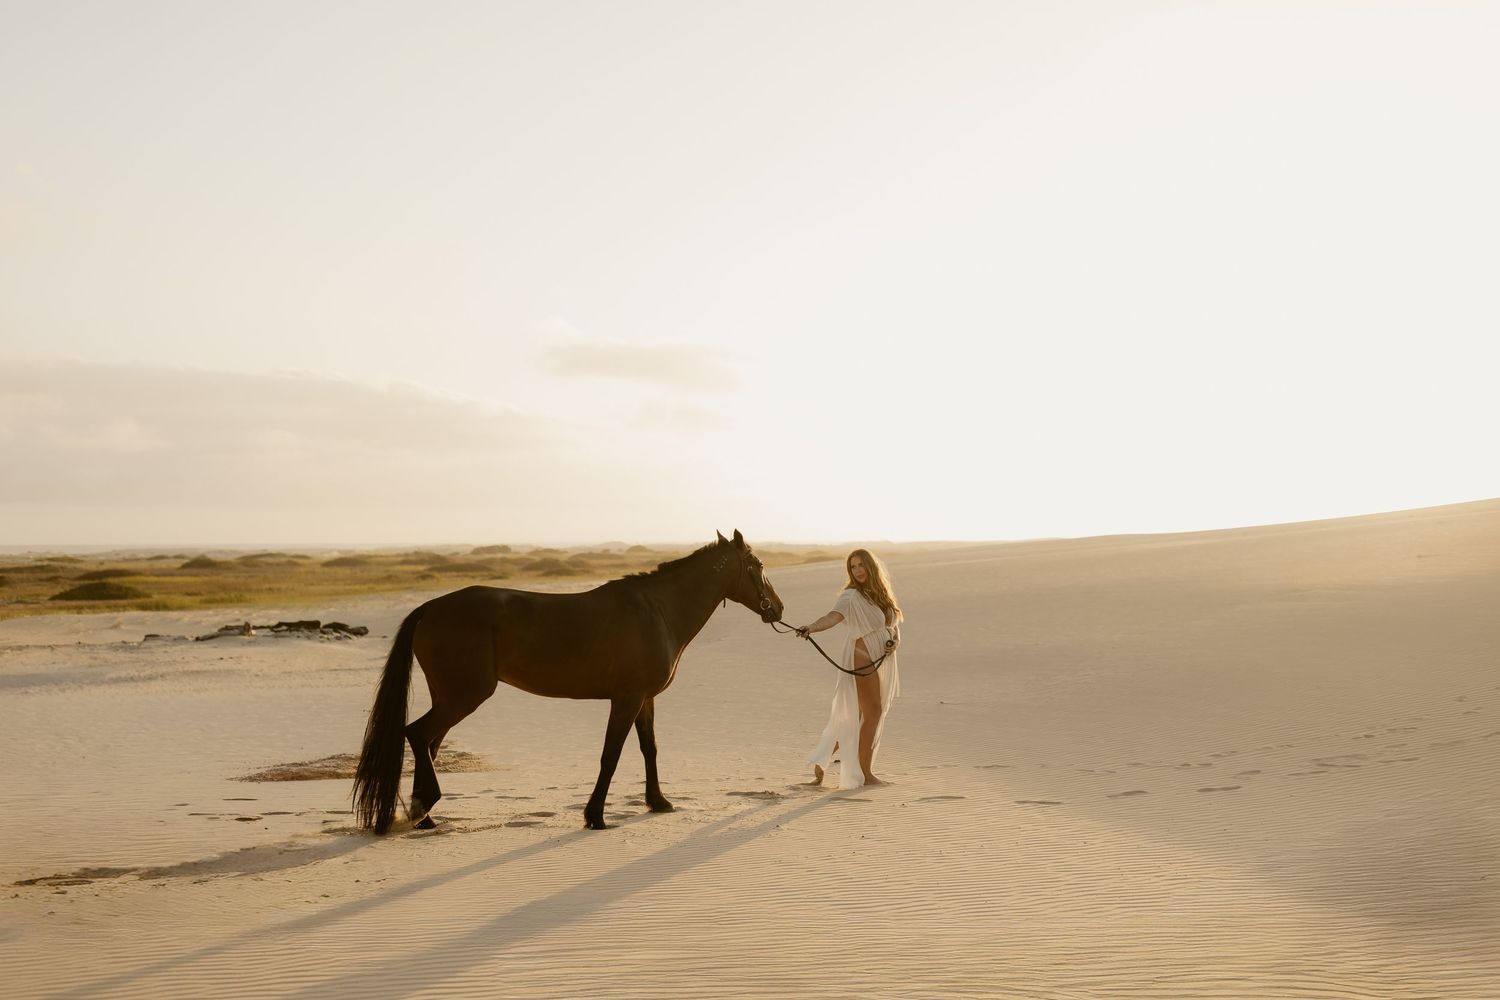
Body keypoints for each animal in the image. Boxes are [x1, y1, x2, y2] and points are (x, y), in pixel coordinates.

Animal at [352, 529, 785, 833]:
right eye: (759, 566)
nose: (778, 609)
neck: (658, 611)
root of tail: (430, 608)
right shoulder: (626, 699)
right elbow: (611, 754)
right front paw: (595, 815)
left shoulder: (644, 699)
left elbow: (649, 748)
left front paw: (658, 801)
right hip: (465, 696)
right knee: (418, 734)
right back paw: (424, 807)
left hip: (448, 696)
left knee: (429, 742)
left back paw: (424, 814)